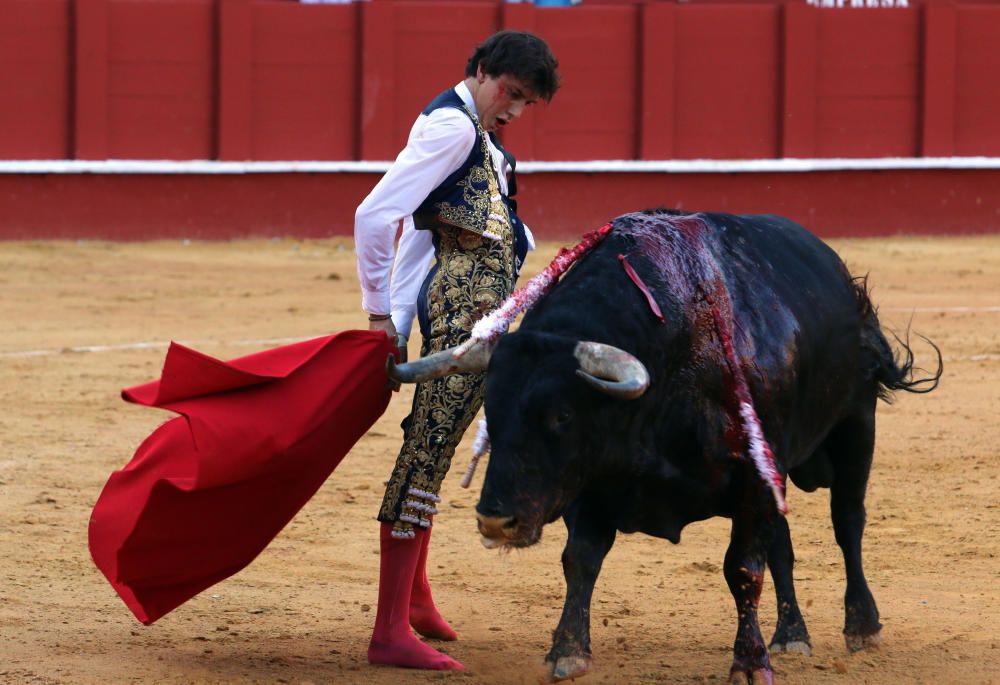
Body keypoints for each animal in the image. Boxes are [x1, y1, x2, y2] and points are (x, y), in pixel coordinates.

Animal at [386, 211, 940, 680]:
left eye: (562, 415)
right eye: (492, 412)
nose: (495, 521)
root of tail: (839, 276)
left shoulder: (752, 478)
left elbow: (742, 568)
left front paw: (749, 663)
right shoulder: (592, 479)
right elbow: (580, 559)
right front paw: (568, 651)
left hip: (855, 426)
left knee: (848, 522)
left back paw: (861, 626)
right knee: (781, 545)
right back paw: (791, 635)